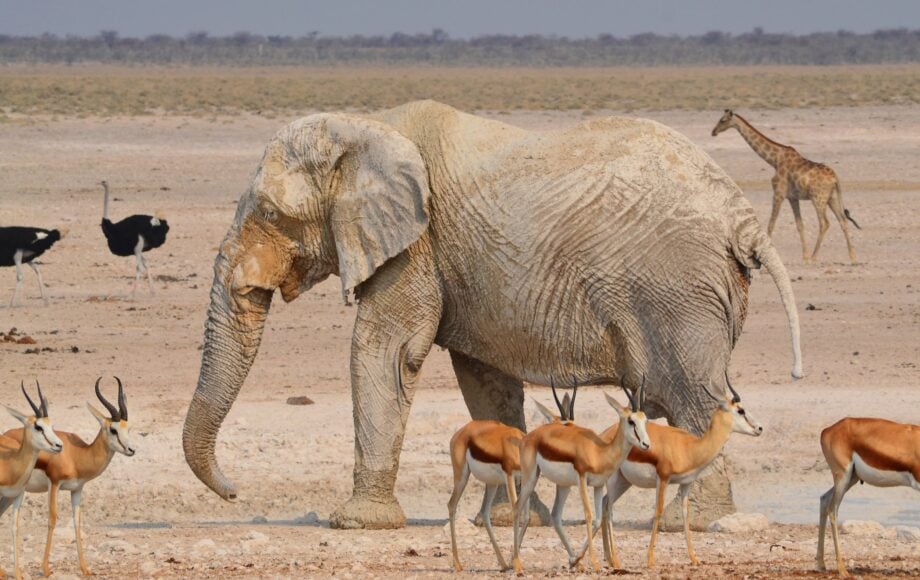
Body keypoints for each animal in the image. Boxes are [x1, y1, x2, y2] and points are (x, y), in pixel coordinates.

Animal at [183, 100, 803, 530]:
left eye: (271, 213)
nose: (235, 492)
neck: (366, 125)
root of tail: (743, 218)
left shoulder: (417, 245)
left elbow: (386, 352)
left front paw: (356, 523)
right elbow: (483, 379)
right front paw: (509, 519)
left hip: (677, 290)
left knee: (692, 395)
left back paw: (691, 522)